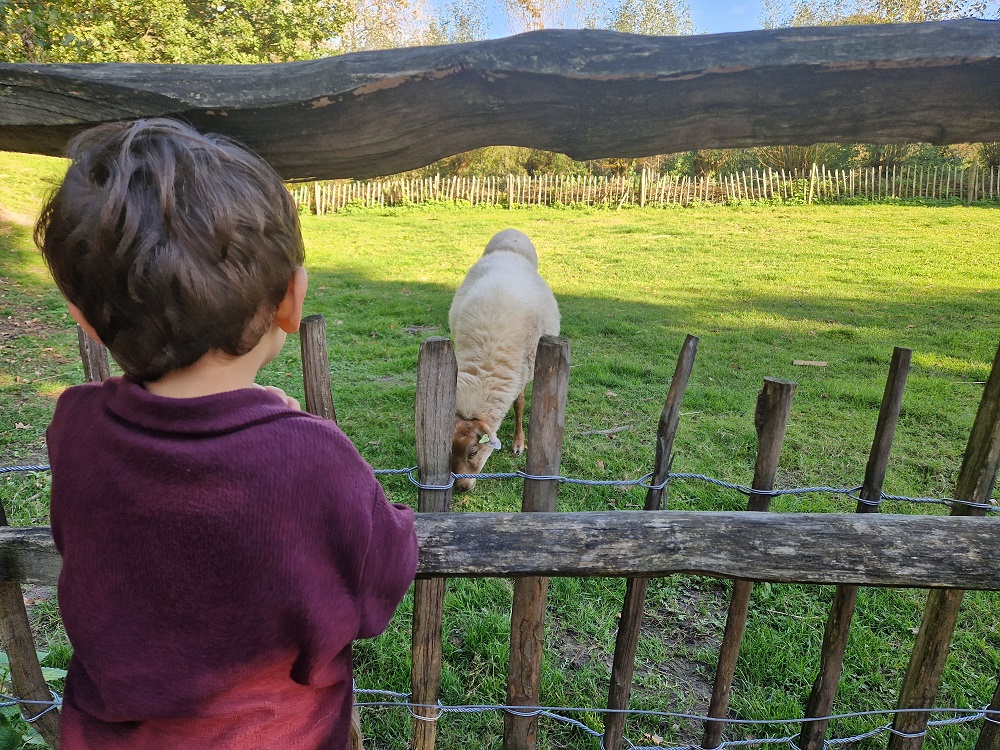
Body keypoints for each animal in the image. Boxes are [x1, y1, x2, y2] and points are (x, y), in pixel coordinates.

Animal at [448, 226, 560, 494]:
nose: (461, 488)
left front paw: (519, 443)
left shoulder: (524, 371)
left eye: (473, 452)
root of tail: (512, 231)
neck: (487, 366)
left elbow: (519, 404)